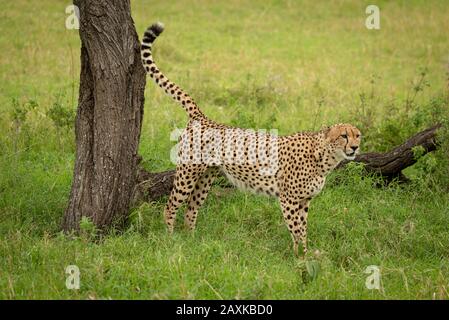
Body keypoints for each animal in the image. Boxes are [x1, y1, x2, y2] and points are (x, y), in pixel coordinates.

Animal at [142, 22, 362, 256]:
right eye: (343, 136)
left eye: (357, 135)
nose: (355, 147)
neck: (323, 158)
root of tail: (202, 117)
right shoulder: (289, 199)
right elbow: (296, 228)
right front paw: (300, 256)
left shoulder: (304, 200)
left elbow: (303, 228)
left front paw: (306, 251)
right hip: (187, 173)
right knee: (171, 205)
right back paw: (170, 239)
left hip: (206, 177)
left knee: (191, 209)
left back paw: (192, 241)